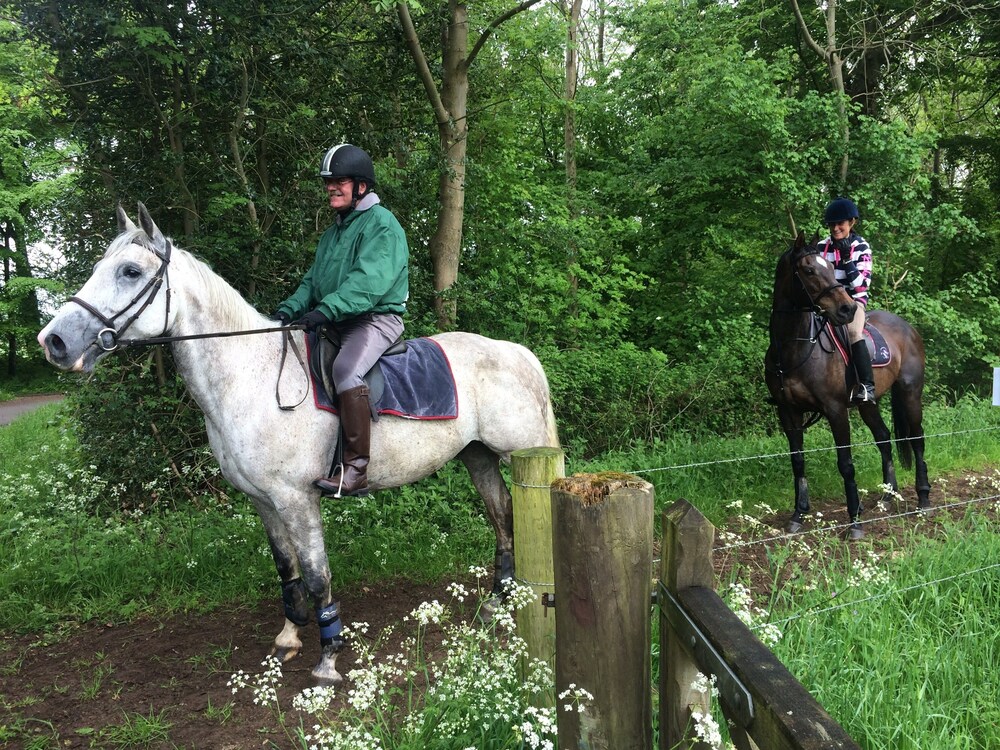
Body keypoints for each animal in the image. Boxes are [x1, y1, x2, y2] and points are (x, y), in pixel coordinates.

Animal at [39, 206, 560, 688]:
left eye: (130, 271)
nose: (54, 341)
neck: (249, 377)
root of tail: (517, 353)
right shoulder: (264, 501)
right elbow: (286, 569)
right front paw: (288, 637)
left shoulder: (297, 499)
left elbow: (315, 575)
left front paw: (328, 659)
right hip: (478, 456)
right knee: (502, 514)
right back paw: (498, 602)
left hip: (521, 454)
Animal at [764, 235, 928, 540]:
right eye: (809, 270)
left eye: (830, 267)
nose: (847, 309)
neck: (795, 348)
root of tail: (908, 328)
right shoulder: (788, 411)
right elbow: (798, 461)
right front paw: (798, 515)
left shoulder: (836, 410)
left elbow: (846, 464)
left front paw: (855, 522)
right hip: (868, 404)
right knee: (884, 438)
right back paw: (887, 497)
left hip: (910, 394)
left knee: (917, 440)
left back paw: (924, 499)